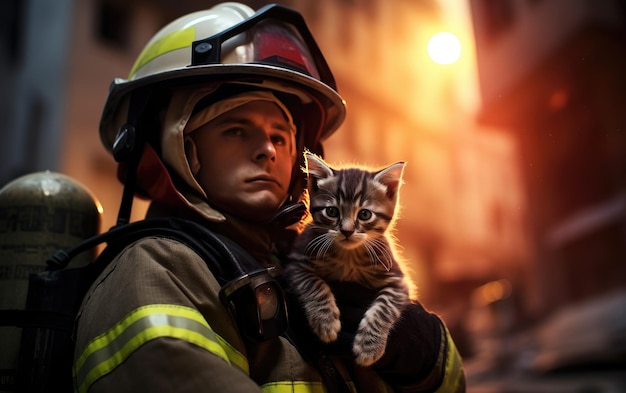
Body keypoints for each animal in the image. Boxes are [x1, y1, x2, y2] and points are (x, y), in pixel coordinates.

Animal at [282, 152, 410, 366]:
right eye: (332, 211)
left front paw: (369, 346)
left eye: (365, 214)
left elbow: (384, 308)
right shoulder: (296, 262)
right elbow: (313, 284)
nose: (347, 231)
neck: (349, 256)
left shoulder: (398, 280)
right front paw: (325, 321)